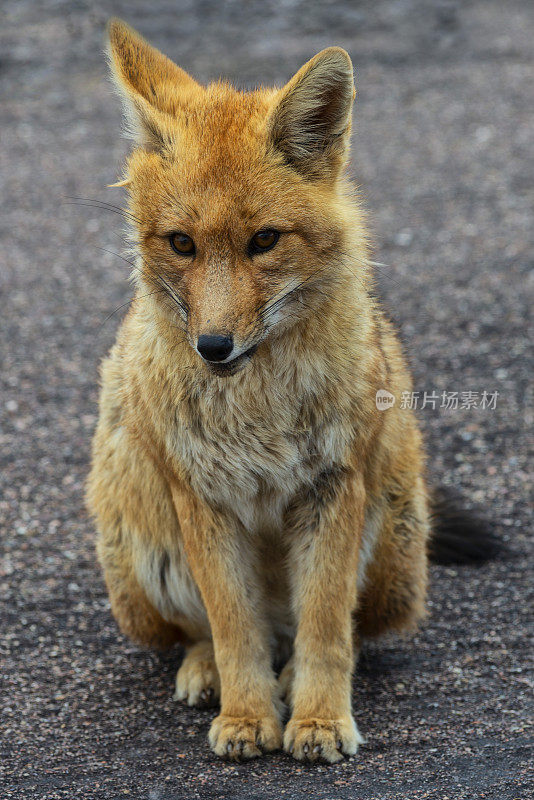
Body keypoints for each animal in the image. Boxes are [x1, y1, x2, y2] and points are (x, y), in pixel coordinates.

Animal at [87, 18, 498, 764]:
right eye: (182, 244)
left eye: (265, 240)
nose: (213, 347)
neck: (258, 413)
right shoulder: (204, 501)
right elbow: (233, 627)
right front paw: (248, 715)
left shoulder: (332, 488)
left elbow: (327, 630)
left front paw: (319, 720)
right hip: (139, 547)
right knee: (211, 631)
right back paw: (208, 674)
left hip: (392, 547)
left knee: (331, 632)